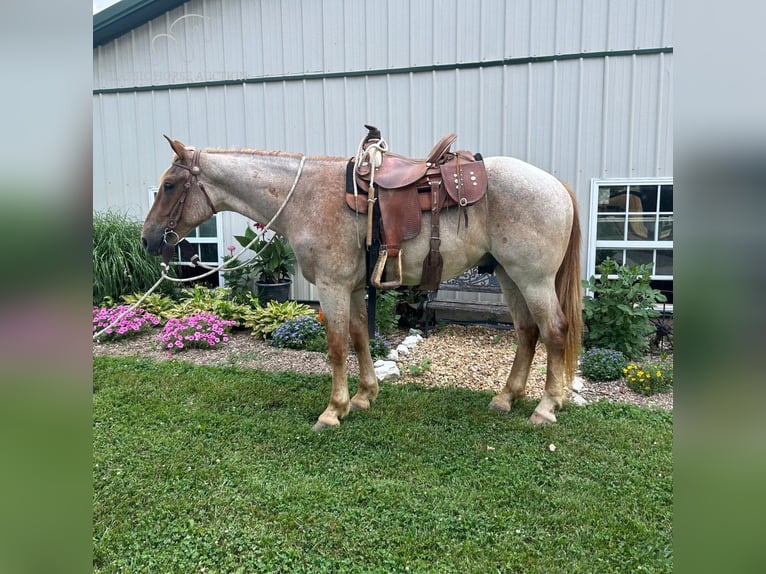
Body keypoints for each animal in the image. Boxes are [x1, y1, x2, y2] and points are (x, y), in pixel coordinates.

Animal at [142, 133, 584, 432]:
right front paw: (363, 396)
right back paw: (506, 397)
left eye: (169, 185)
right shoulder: (353, 288)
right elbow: (359, 338)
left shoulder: (332, 287)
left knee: (554, 330)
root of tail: (556, 185)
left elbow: (337, 347)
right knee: (527, 332)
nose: (148, 239)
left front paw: (332, 410)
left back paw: (546, 406)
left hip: (534, 279)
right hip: (510, 276)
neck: (305, 197)